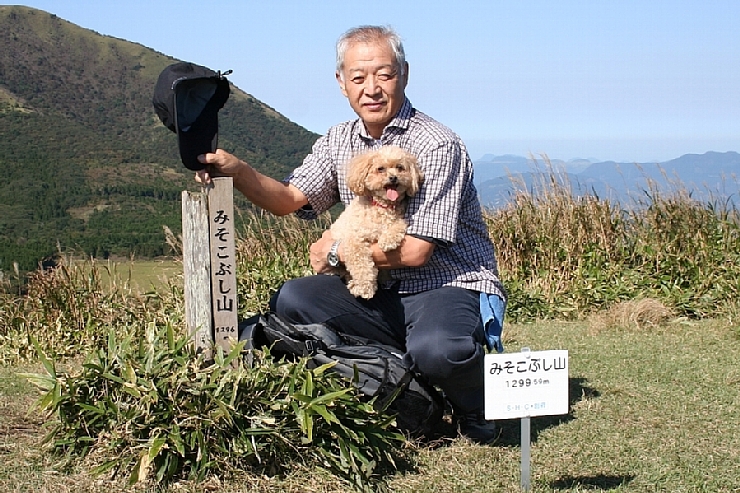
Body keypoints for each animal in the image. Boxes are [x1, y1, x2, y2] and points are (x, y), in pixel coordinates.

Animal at [330, 145, 424, 299]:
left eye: (400, 167)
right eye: (380, 169)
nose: (393, 178)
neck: (382, 206)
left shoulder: (398, 219)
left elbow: (398, 225)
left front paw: (388, 240)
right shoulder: (353, 240)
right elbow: (360, 263)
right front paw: (364, 287)